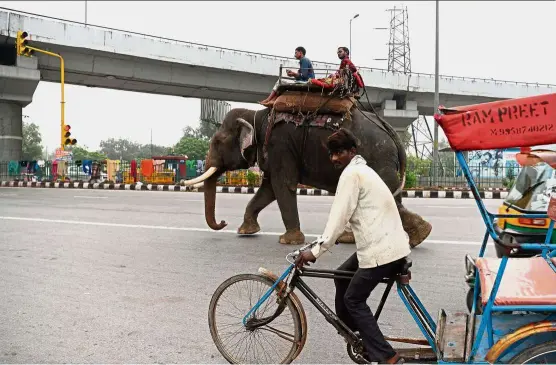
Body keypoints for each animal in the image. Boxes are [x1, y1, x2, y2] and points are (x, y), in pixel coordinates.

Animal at [185, 106, 432, 247]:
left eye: (218, 142)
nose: (223, 223)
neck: (256, 116)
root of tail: (389, 128)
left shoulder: (280, 146)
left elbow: (282, 185)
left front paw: (288, 241)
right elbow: (269, 189)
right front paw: (246, 231)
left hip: (378, 157)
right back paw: (418, 234)